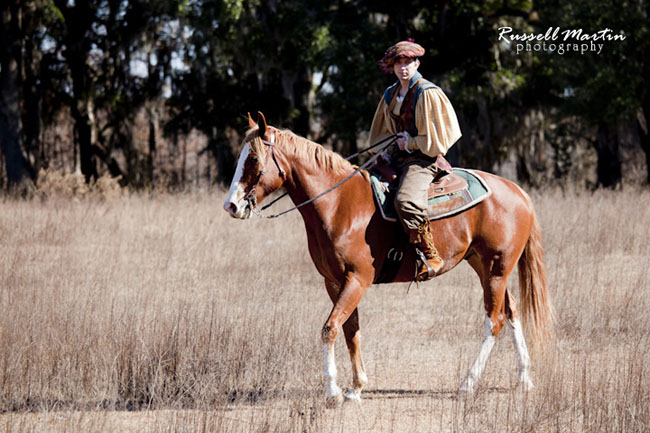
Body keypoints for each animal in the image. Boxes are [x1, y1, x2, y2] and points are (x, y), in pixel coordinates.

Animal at [223, 112, 552, 404]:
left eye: (253, 159)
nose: (231, 206)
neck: (338, 204)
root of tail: (517, 191)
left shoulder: (358, 279)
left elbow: (330, 329)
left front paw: (332, 391)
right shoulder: (335, 282)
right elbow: (350, 330)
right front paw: (355, 388)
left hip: (497, 267)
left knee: (494, 320)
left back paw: (467, 384)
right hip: (484, 265)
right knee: (511, 311)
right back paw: (524, 378)